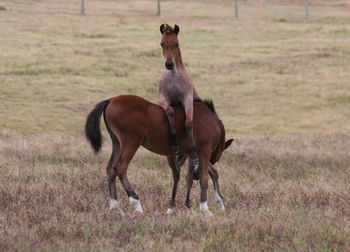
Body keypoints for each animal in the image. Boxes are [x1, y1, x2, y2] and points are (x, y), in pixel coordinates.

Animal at [85, 95, 232, 217]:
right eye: (217, 155)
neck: (211, 121)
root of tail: (111, 100)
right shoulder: (204, 151)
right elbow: (205, 177)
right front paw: (205, 209)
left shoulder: (192, 154)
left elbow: (193, 176)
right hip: (131, 142)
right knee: (120, 168)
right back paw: (136, 204)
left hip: (117, 143)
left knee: (110, 169)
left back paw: (115, 207)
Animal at [158, 24, 200, 167]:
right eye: (162, 43)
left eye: (176, 43)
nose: (169, 64)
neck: (174, 76)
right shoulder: (163, 97)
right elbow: (170, 111)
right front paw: (175, 144)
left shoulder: (187, 98)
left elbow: (189, 123)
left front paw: (194, 156)